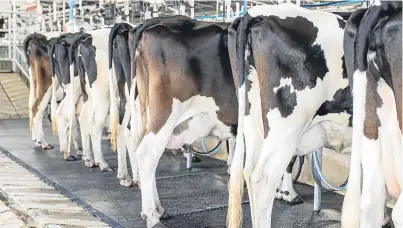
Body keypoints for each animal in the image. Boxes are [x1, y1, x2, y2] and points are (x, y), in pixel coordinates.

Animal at [68, 28, 114, 171]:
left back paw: (88, 158)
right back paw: (102, 163)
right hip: (102, 93)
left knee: (83, 118)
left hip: (87, 93)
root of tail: (88, 37)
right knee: (94, 122)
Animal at [128, 15, 238, 227]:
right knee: (147, 153)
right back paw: (152, 216)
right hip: (164, 113)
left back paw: (157, 210)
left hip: (145, 111)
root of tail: (150, 26)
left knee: (137, 146)